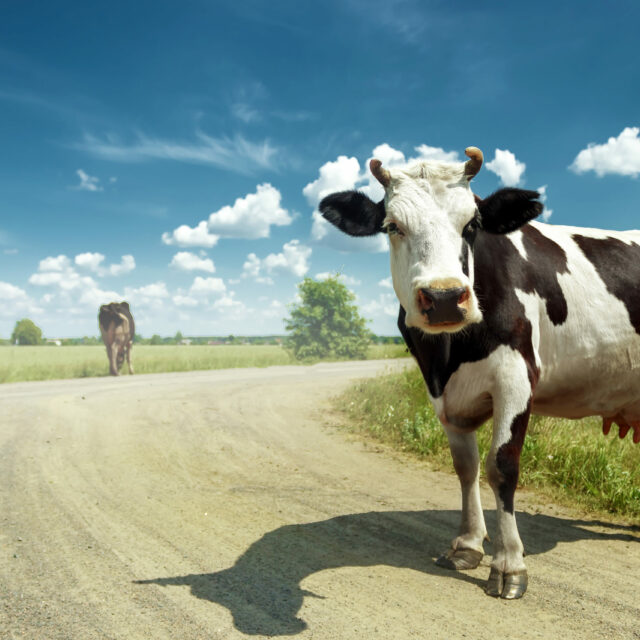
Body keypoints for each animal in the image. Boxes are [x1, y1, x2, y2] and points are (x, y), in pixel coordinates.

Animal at [320, 149, 640, 600]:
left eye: (471, 225)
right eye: (392, 226)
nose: (443, 298)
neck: (450, 354)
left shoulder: (516, 377)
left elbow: (501, 466)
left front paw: (508, 564)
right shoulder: (442, 392)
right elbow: (465, 466)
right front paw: (468, 544)